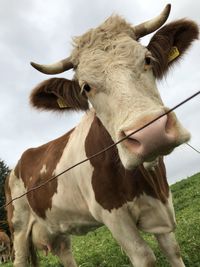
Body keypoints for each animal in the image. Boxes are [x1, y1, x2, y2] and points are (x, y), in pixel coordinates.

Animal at [5, 4, 198, 267]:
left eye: (148, 59)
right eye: (85, 87)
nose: (150, 133)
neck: (146, 181)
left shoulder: (163, 205)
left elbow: (173, 250)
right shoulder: (113, 215)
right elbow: (144, 256)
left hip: (56, 227)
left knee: (65, 252)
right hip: (18, 229)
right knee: (21, 258)